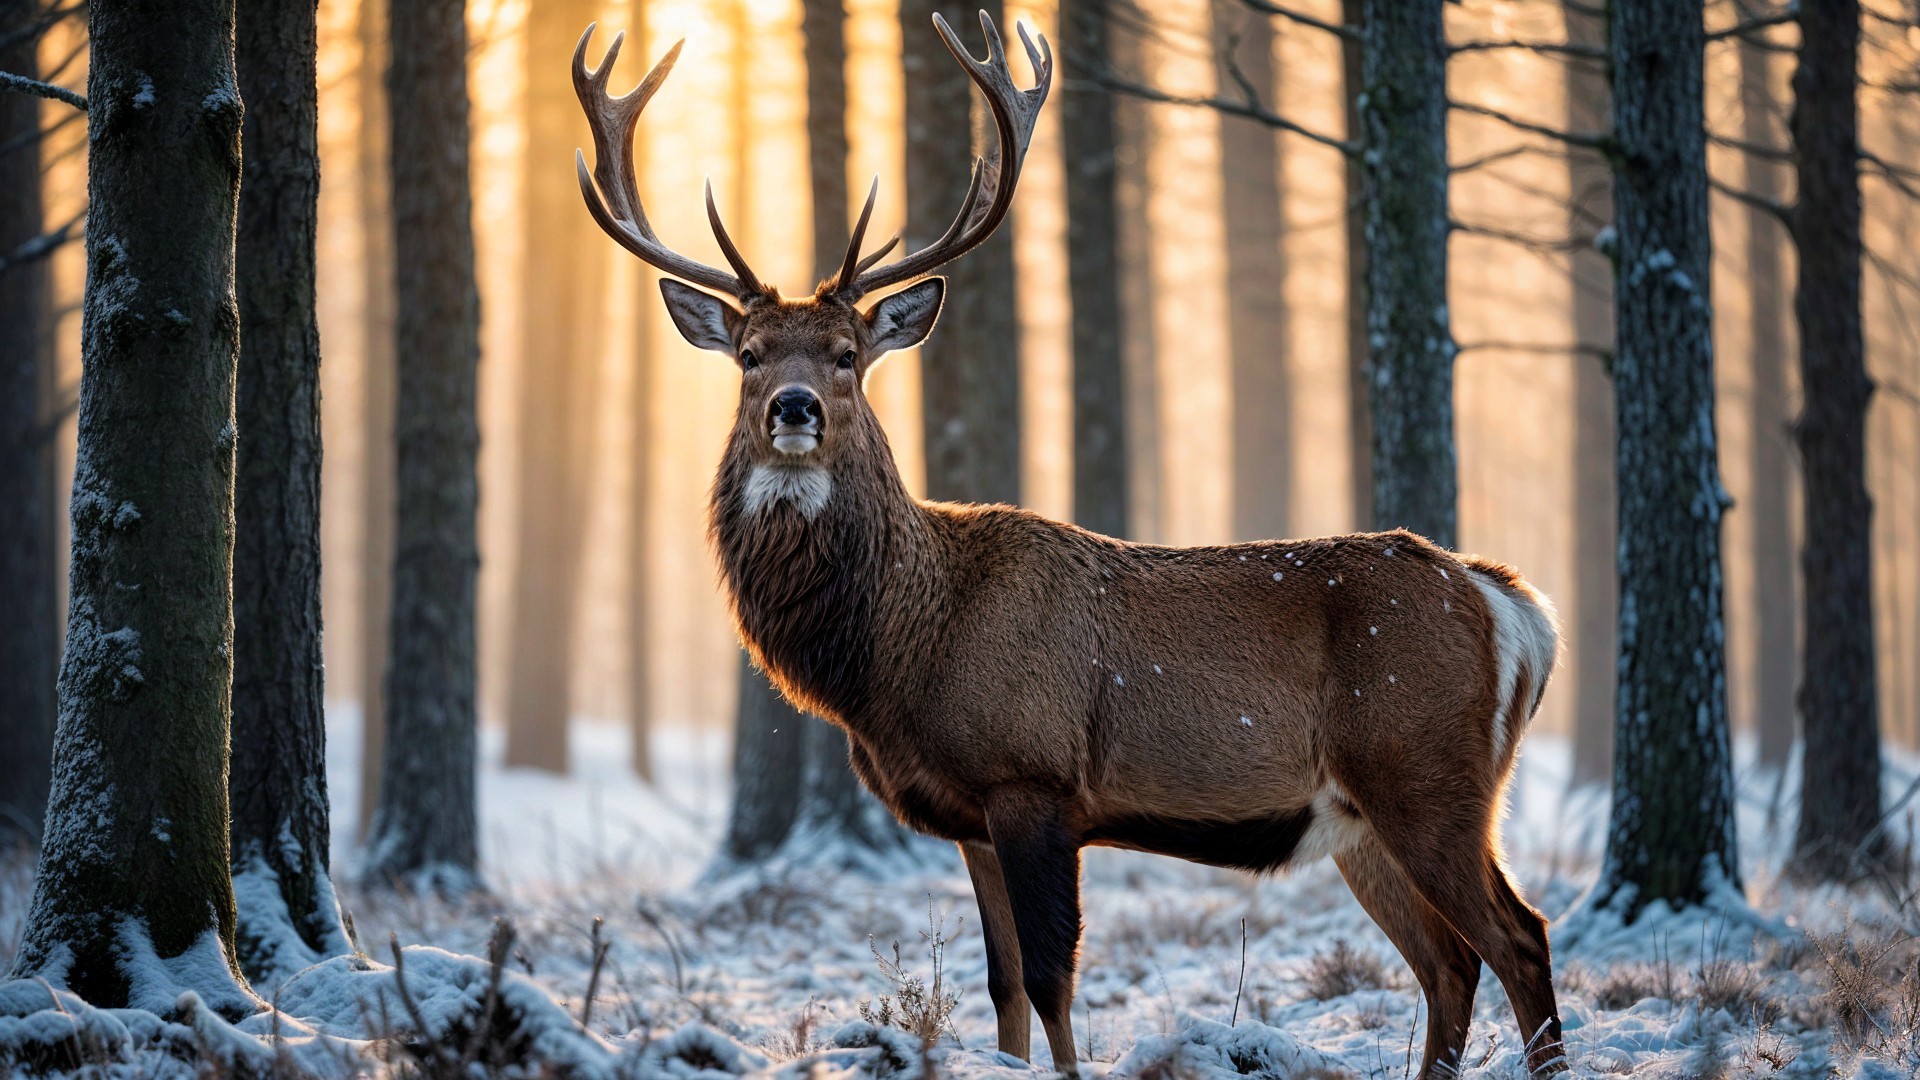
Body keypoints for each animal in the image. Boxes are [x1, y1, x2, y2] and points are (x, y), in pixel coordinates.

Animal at [571, 12, 1566, 1077]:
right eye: (750, 356)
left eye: (847, 357)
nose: (793, 408)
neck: (900, 655)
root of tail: (1512, 605)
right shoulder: (967, 816)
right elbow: (1003, 988)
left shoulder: (1032, 778)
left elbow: (1053, 981)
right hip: (1358, 816)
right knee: (1450, 964)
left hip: (1427, 774)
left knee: (1519, 938)